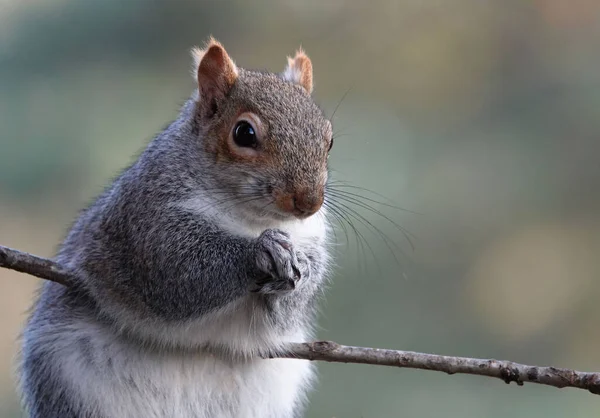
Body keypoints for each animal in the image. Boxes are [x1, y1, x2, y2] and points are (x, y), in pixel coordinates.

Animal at [18, 38, 332, 418]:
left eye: (329, 139)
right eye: (244, 133)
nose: (309, 202)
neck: (251, 218)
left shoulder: (310, 238)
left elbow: (284, 315)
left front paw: (301, 269)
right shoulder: (147, 222)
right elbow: (179, 272)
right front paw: (260, 251)